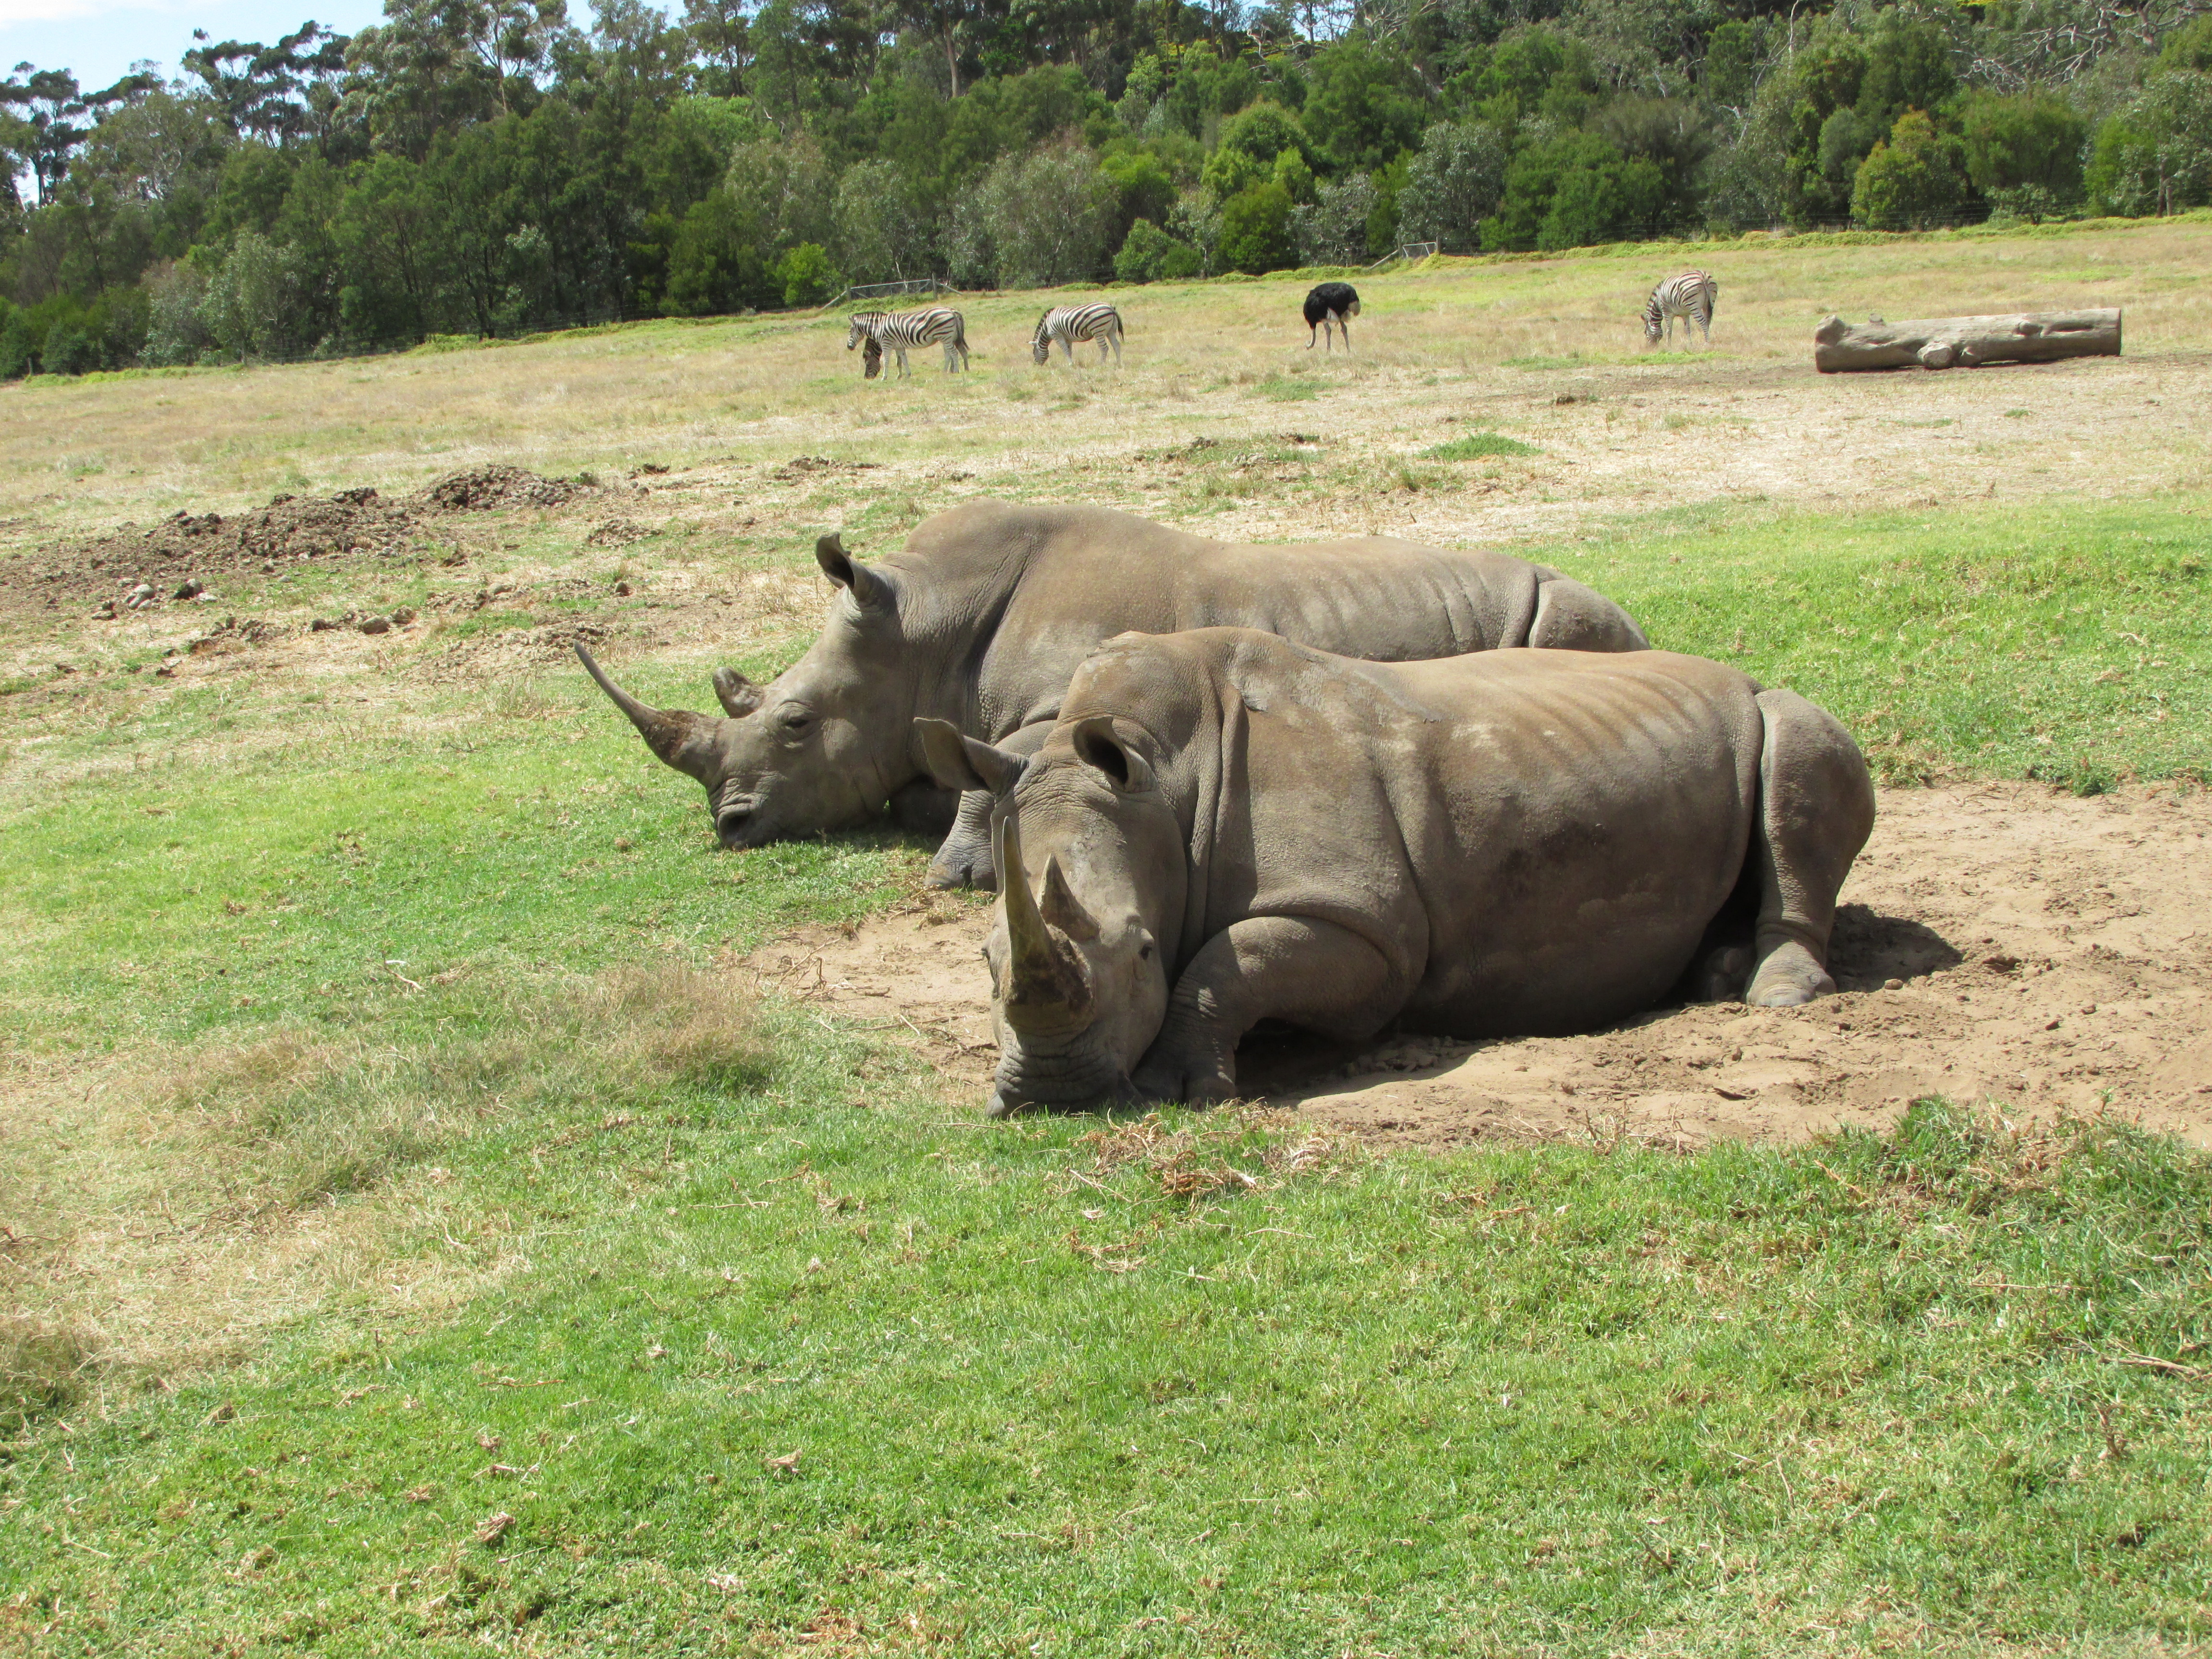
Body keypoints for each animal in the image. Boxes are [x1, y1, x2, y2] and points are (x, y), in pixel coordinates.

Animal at [845, 307, 969, 378]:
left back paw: (956, 371)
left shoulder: (886, 344)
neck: (878, 327)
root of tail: (951, 311)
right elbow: (903, 360)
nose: (866, 378)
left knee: (954, 353)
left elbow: (886, 361)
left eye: (868, 364)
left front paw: (884, 377)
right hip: (947, 337)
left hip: (945, 336)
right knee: (952, 353)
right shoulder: (899, 346)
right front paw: (907, 375)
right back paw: (947, 371)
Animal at [1022, 307, 1115, 372]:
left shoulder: (1057, 335)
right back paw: (1117, 363)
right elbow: (1069, 351)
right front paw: (1071, 363)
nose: (1036, 365)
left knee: (1104, 348)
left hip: (1098, 330)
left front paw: (1070, 364)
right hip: (1110, 331)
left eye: (1034, 353)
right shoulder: (1068, 338)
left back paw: (1102, 364)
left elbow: (1065, 350)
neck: (1047, 327)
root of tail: (1110, 307)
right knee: (1116, 346)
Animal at [1300, 283, 1354, 351]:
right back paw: (1349, 350)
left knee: (1329, 329)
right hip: (1340, 313)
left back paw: (1328, 351)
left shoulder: (1322, 317)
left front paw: (1328, 351)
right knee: (1344, 328)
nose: (1307, 347)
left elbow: (1328, 329)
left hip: (1324, 314)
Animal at [1636, 273, 1716, 351]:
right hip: (1709, 305)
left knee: (1703, 324)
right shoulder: (1685, 314)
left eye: (1645, 332)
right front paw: (1690, 345)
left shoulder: (1667, 313)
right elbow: (1687, 330)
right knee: (1707, 322)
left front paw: (1669, 347)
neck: (1658, 302)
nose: (1651, 348)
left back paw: (1706, 344)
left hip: (1694, 306)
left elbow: (1669, 330)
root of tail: (1703, 276)